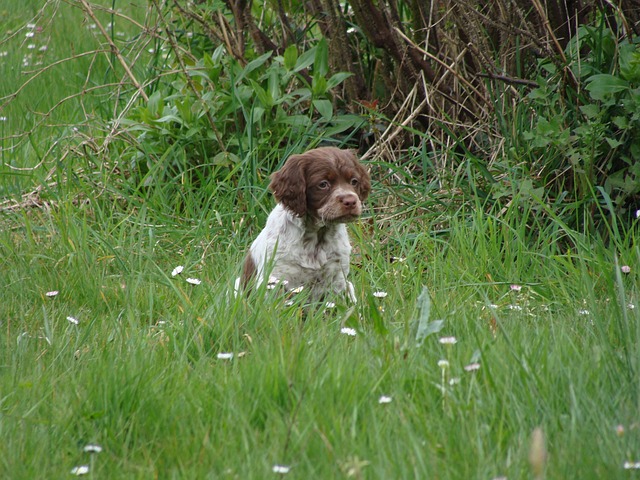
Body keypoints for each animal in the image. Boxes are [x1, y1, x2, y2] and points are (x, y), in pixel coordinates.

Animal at [238, 148, 372, 302]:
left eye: (354, 181)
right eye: (323, 184)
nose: (350, 201)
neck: (318, 235)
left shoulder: (338, 276)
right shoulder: (275, 276)